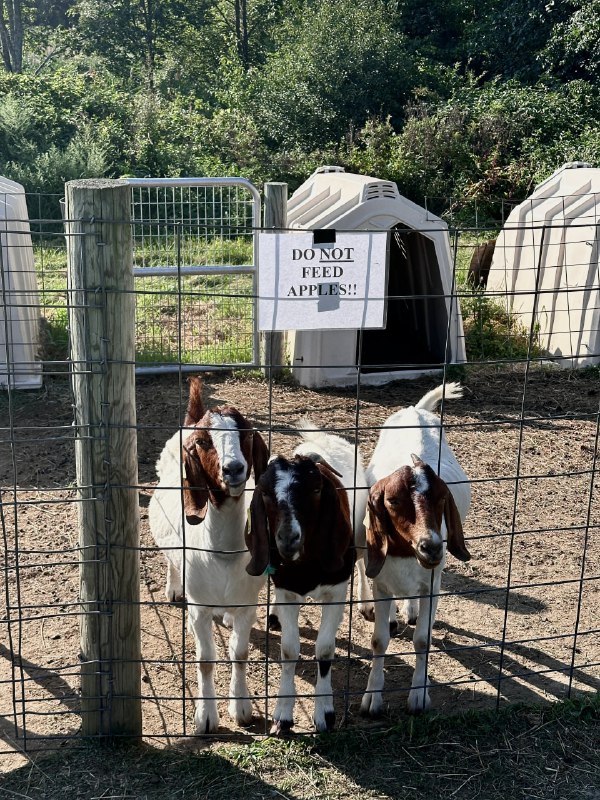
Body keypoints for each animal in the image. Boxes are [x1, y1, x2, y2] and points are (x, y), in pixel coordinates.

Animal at [150, 378, 270, 736]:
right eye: (204, 442)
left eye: (245, 432)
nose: (234, 469)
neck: (223, 555)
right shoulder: (199, 608)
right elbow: (205, 660)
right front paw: (206, 717)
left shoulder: (248, 604)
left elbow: (240, 652)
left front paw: (241, 708)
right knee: (171, 560)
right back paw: (174, 588)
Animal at [245, 424, 358, 732]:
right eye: (265, 493)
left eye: (317, 489)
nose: (287, 539)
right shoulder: (287, 590)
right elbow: (288, 649)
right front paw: (283, 714)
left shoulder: (337, 591)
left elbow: (325, 649)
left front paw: (325, 713)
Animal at [358, 384, 472, 716]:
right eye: (393, 500)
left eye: (441, 498)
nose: (431, 546)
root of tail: (416, 409)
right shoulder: (381, 582)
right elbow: (378, 640)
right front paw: (372, 698)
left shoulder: (433, 583)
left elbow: (423, 639)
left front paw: (419, 696)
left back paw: (409, 611)